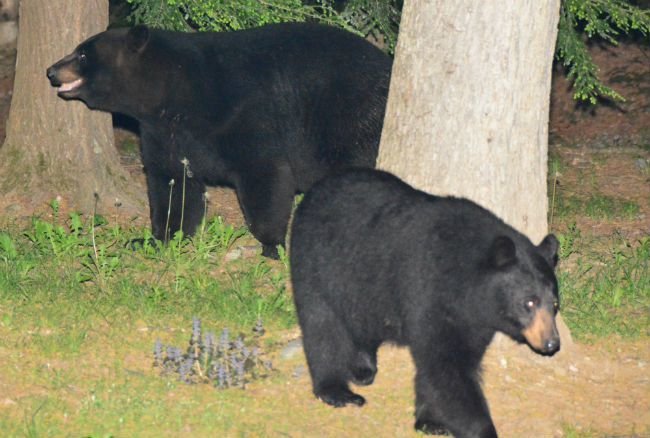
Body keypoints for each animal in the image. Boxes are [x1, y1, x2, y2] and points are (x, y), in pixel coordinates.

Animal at [46, 23, 391, 258]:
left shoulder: (242, 113)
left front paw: (271, 244)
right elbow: (173, 184)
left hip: (351, 119)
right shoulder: (166, 134)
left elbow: (265, 174)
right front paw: (158, 237)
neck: (175, 92)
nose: (50, 70)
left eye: (82, 53)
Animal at [289, 168, 561, 438]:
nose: (551, 343)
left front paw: (430, 421)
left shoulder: (474, 319)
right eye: (529, 302)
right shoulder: (428, 289)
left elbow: (450, 363)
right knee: (322, 325)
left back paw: (363, 367)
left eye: (555, 305)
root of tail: (316, 188)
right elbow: (445, 367)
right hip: (316, 263)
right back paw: (336, 390)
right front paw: (481, 429)